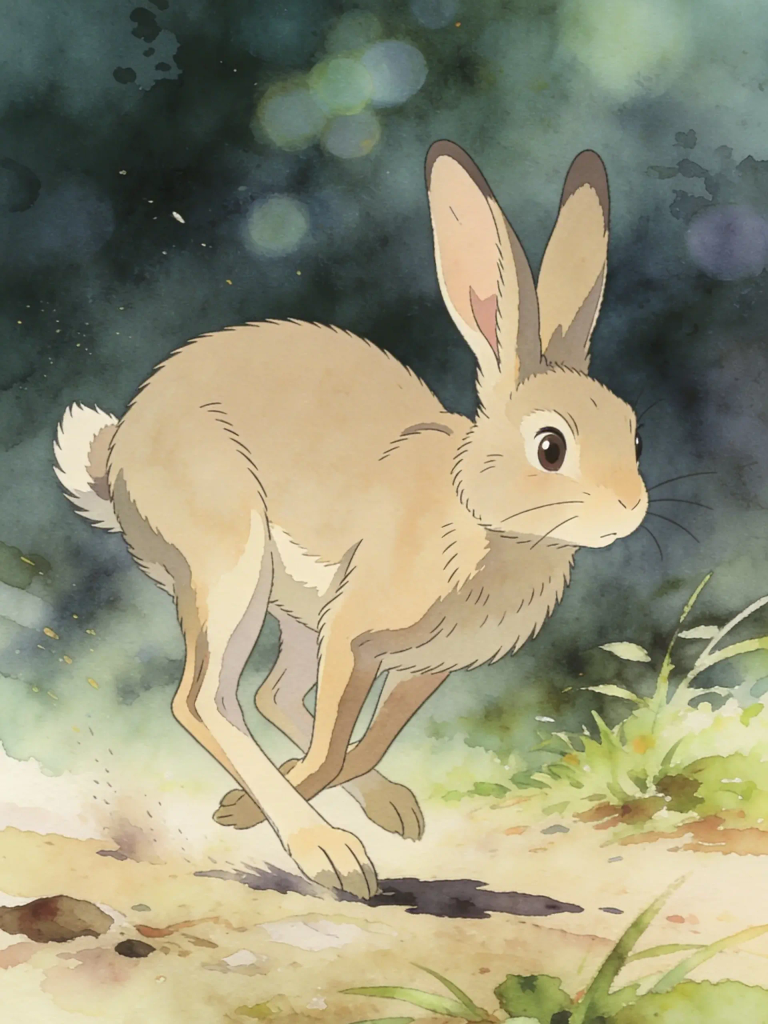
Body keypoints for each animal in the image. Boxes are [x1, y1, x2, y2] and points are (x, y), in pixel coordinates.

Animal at [53, 141, 647, 899]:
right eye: (550, 448)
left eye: (634, 435)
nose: (631, 510)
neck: (473, 514)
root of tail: (119, 458)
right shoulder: (356, 634)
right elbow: (334, 745)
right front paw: (272, 823)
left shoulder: (422, 667)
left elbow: (367, 742)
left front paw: (286, 805)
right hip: (233, 565)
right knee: (206, 700)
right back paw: (321, 846)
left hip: (294, 609)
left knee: (272, 694)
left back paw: (381, 808)